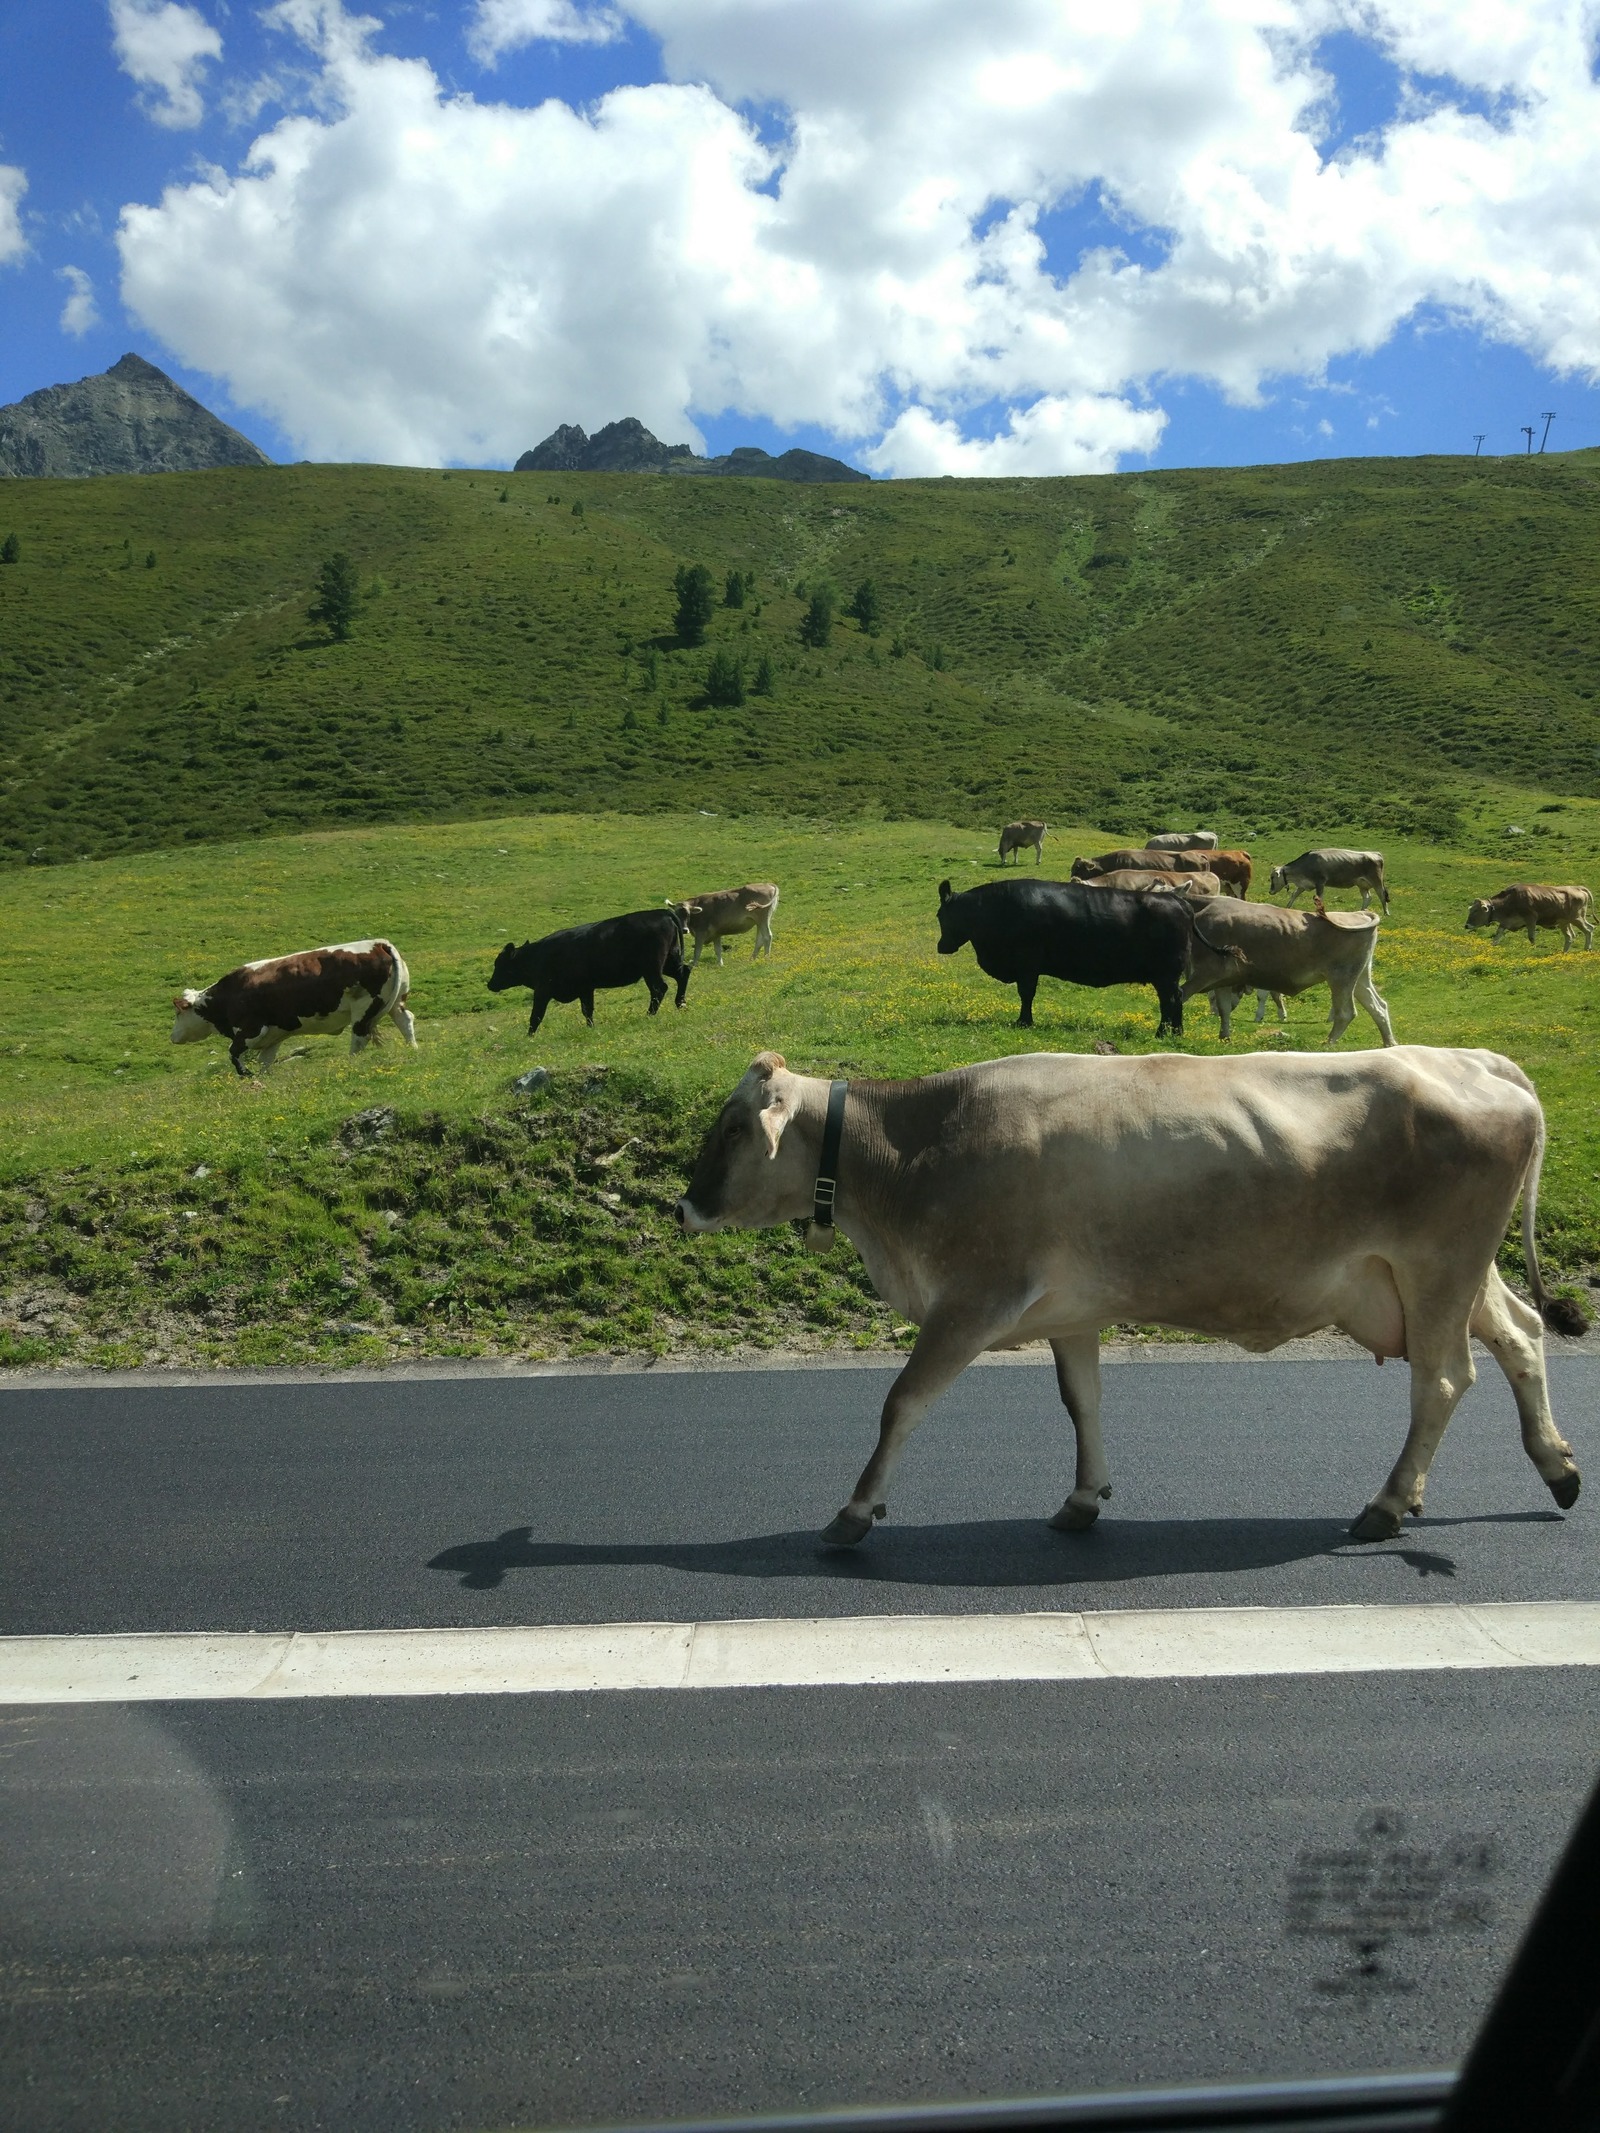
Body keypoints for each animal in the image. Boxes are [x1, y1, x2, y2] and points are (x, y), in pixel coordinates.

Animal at [170, 938, 420, 1075]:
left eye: (177, 1013)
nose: (172, 1036)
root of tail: (378, 944)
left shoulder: (251, 1030)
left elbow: (233, 1054)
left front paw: (247, 1075)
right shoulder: (272, 1036)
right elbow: (265, 1062)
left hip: (363, 1008)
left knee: (360, 1037)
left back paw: (350, 1062)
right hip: (396, 1002)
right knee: (405, 1020)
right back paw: (413, 1049)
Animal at [488, 908, 691, 1032]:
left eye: (499, 965)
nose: (490, 984)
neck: (537, 956)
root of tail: (661, 912)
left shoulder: (543, 990)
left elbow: (536, 1015)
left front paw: (529, 1036)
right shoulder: (585, 988)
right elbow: (587, 1010)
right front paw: (591, 1028)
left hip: (652, 967)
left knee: (659, 988)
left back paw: (649, 1014)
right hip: (669, 960)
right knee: (684, 973)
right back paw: (680, 1003)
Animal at [678, 1049, 1595, 1552]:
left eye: (733, 1128)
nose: (683, 1206)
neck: (914, 1148)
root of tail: (1472, 1058)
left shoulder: (971, 1299)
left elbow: (903, 1401)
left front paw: (854, 1511)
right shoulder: (1071, 1310)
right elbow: (1080, 1400)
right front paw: (1084, 1498)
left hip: (1438, 1266)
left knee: (1441, 1379)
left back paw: (1386, 1504)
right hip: (1450, 1273)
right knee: (1519, 1337)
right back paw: (1554, 1468)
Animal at [938, 870, 1203, 1028]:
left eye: (940, 915)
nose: (941, 947)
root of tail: (1178, 901)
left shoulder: (1027, 964)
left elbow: (1026, 994)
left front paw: (1024, 1022)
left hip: (1166, 974)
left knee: (1171, 999)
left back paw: (1163, 1032)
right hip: (1166, 976)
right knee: (1175, 998)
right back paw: (1174, 1032)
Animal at [1186, 895, 1399, 1045]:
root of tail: (1359, 914)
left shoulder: (1204, 973)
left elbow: (1182, 995)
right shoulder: (1222, 980)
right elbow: (1224, 1008)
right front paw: (1224, 1037)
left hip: (1341, 977)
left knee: (1346, 1012)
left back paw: (1328, 1044)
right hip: (1359, 976)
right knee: (1378, 1007)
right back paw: (1389, 1043)